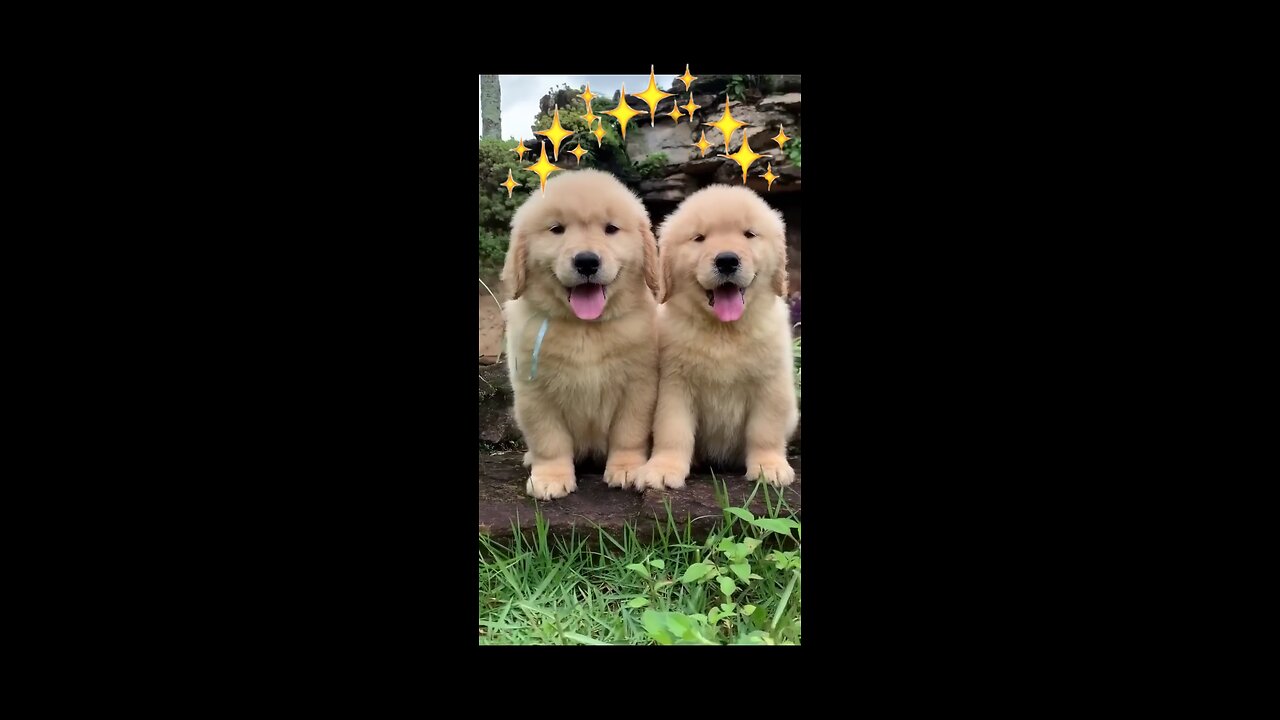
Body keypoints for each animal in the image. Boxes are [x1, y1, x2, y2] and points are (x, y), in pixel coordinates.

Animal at [499, 166, 660, 499]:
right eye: (556, 229)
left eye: (611, 229)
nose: (587, 261)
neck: (585, 328)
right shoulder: (535, 392)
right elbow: (549, 439)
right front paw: (550, 477)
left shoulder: (638, 386)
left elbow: (629, 433)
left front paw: (627, 469)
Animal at [634, 181, 793, 489]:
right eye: (699, 238)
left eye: (749, 234)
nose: (727, 260)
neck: (724, 330)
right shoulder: (675, 385)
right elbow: (673, 430)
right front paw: (664, 468)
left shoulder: (770, 384)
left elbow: (765, 430)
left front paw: (769, 467)